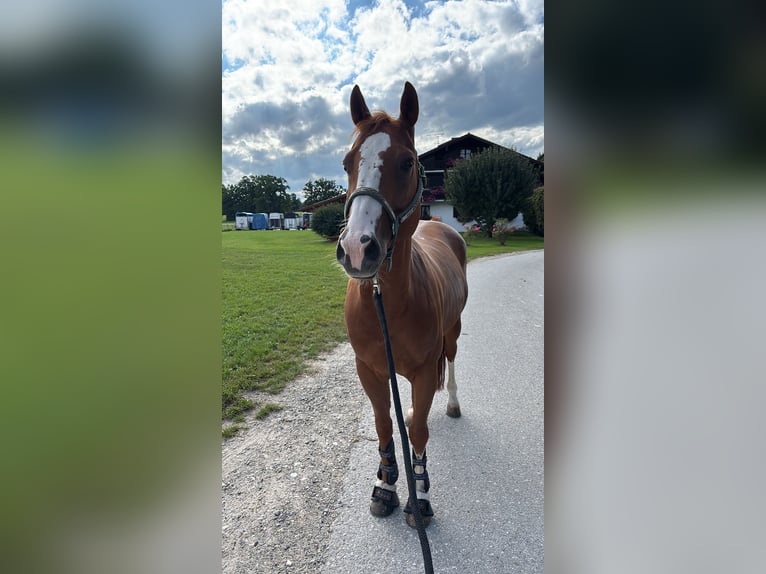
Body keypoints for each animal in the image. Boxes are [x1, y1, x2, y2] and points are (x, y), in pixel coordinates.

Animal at [336, 82, 468, 528]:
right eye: (347, 163)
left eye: (408, 163)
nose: (357, 250)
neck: (390, 301)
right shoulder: (370, 370)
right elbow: (383, 425)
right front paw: (386, 484)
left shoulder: (426, 371)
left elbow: (421, 432)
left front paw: (420, 495)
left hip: (453, 332)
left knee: (453, 361)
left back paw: (453, 404)